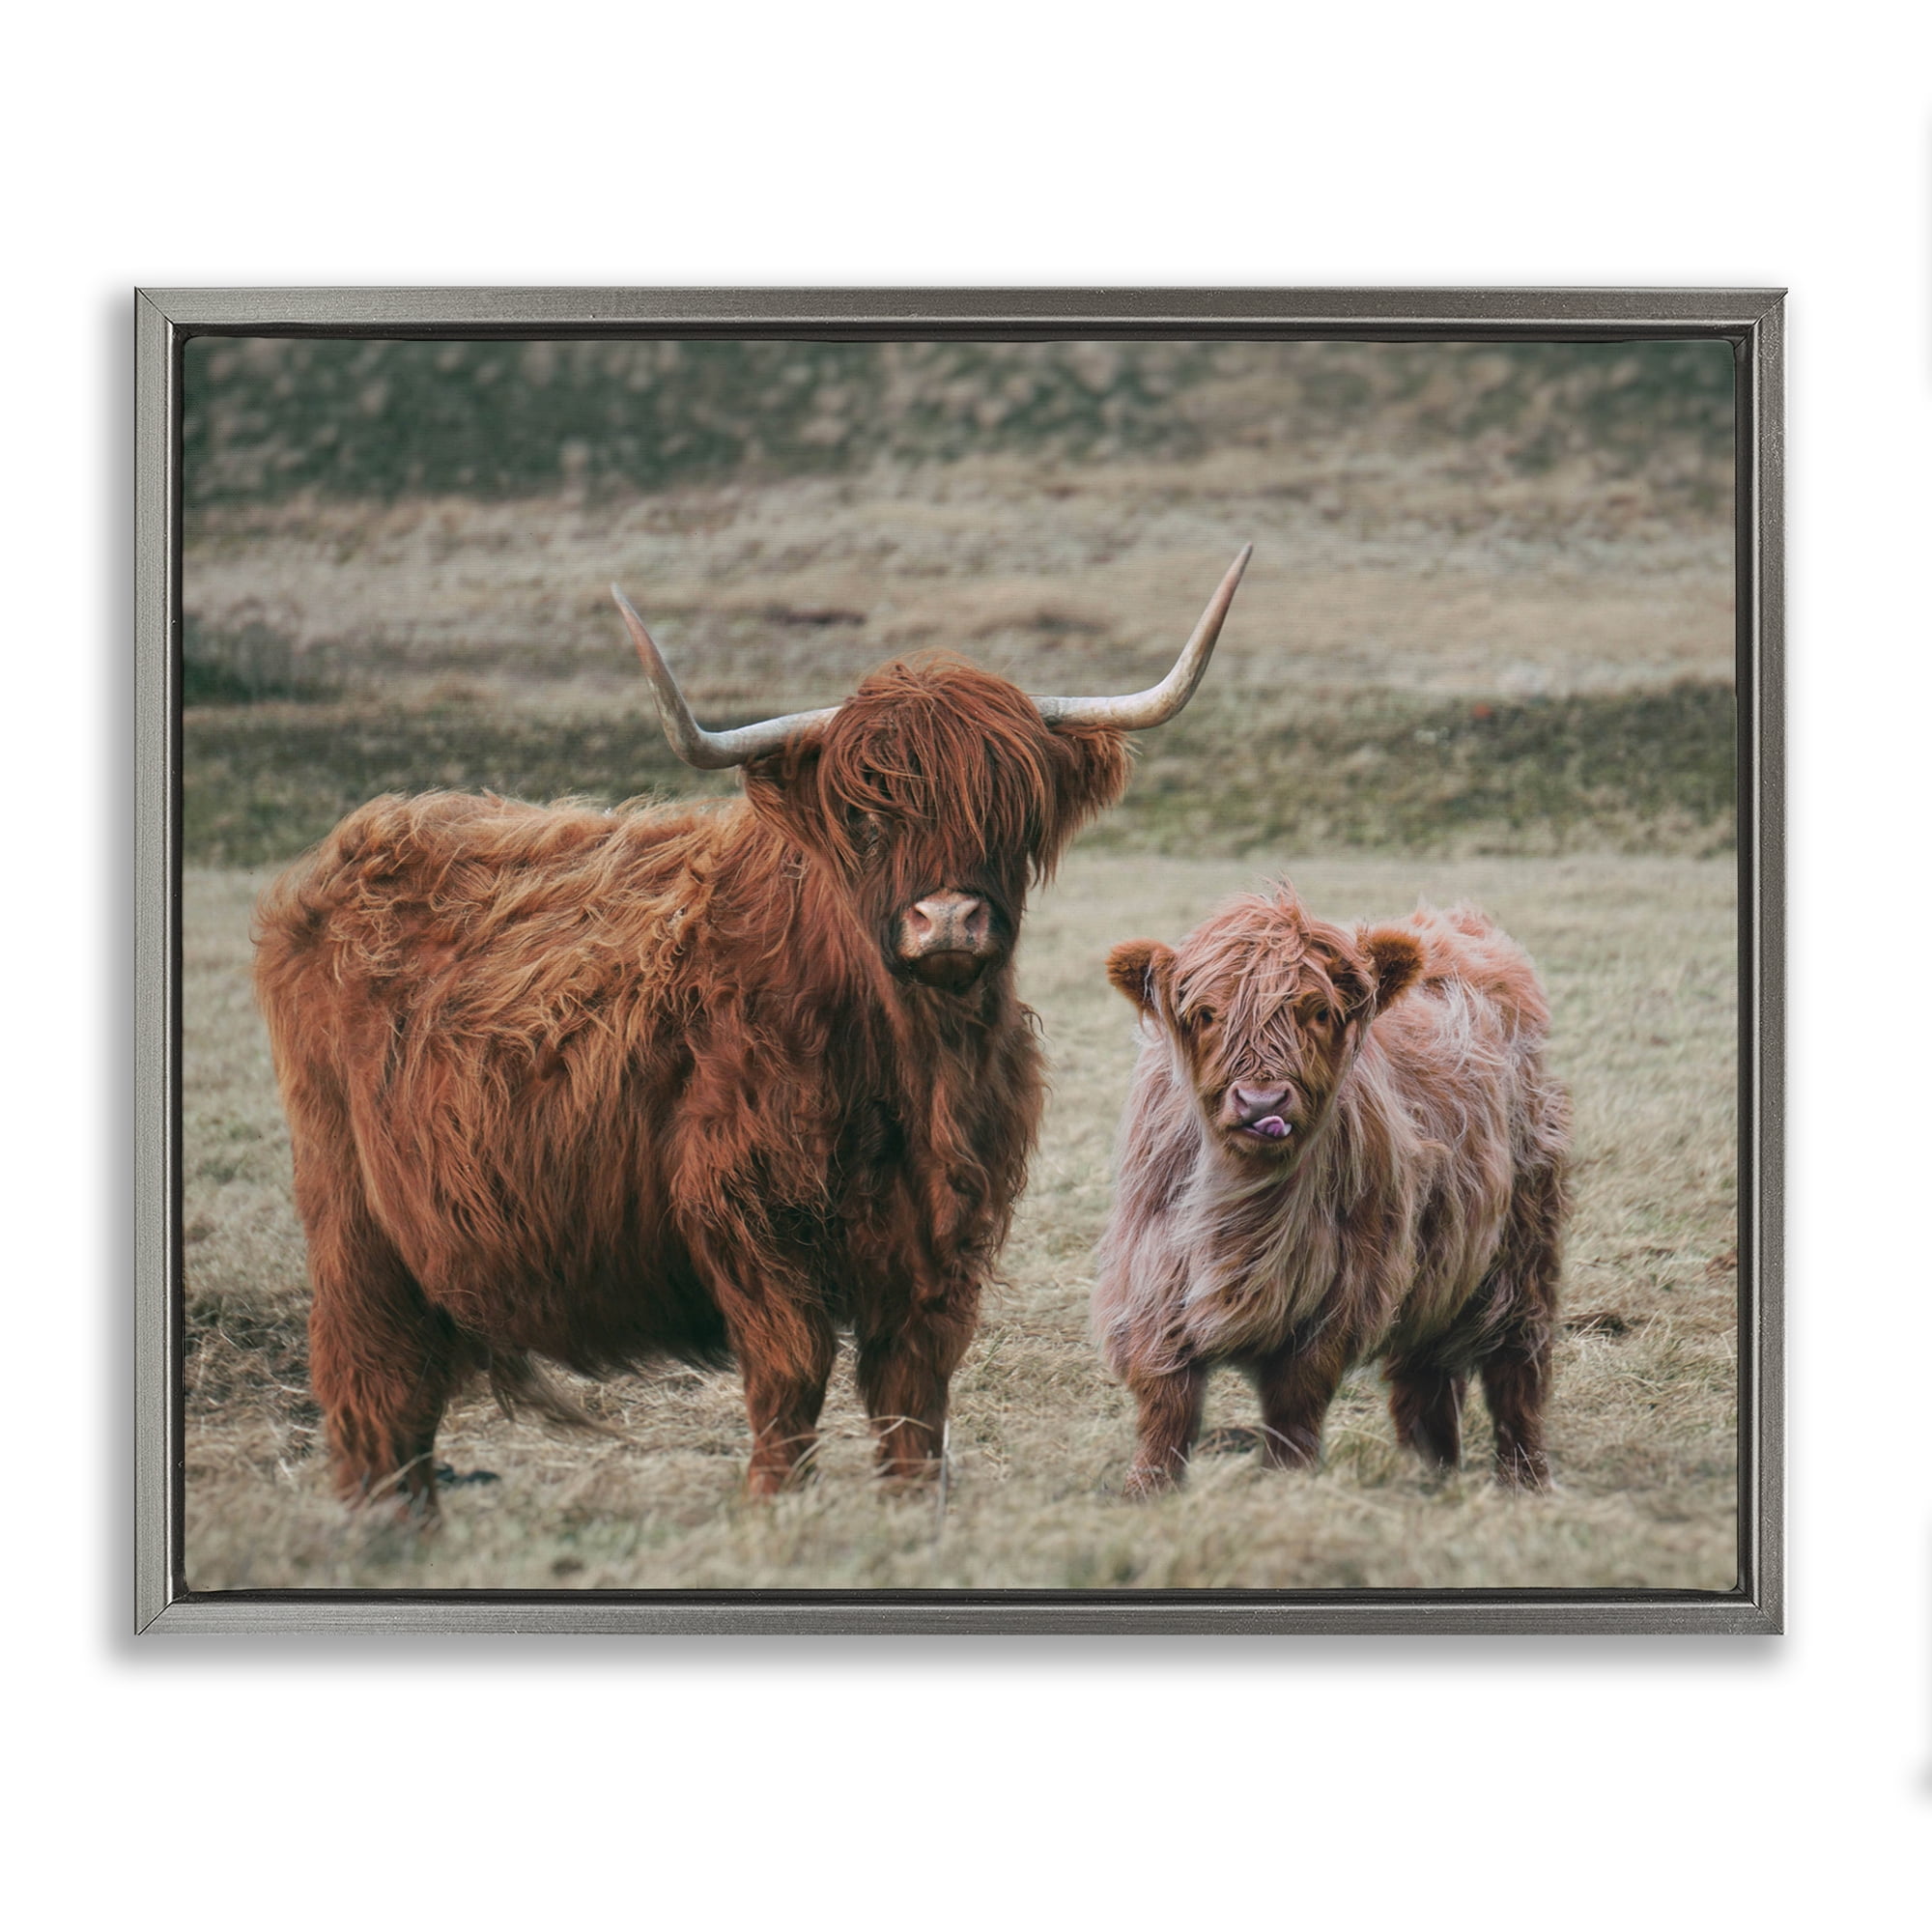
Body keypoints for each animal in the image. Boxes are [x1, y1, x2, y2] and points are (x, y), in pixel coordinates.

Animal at [254, 548, 1252, 1516]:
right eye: (865, 816)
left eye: (1014, 811)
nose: (948, 921)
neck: (909, 1067)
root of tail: (357, 842)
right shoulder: (748, 1210)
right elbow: (791, 1372)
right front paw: (774, 1506)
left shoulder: (945, 1232)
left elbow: (913, 1388)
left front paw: (912, 1508)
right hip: (350, 1210)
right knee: (373, 1377)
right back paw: (385, 1527)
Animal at [1093, 883, 1569, 1497]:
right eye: (1205, 1013)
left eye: (1318, 1012)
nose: (1261, 1104)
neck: (1246, 1208)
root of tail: (1456, 923)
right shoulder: (1152, 1278)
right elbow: (1165, 1402)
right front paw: (1147, 1490)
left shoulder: (1340, 1293)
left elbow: (1294, 1403)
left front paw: (1284, 1483)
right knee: (1425, 1373)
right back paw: (1429, 1473)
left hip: (1524, 1242)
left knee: (1517, 1366)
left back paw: (1523, 1480)